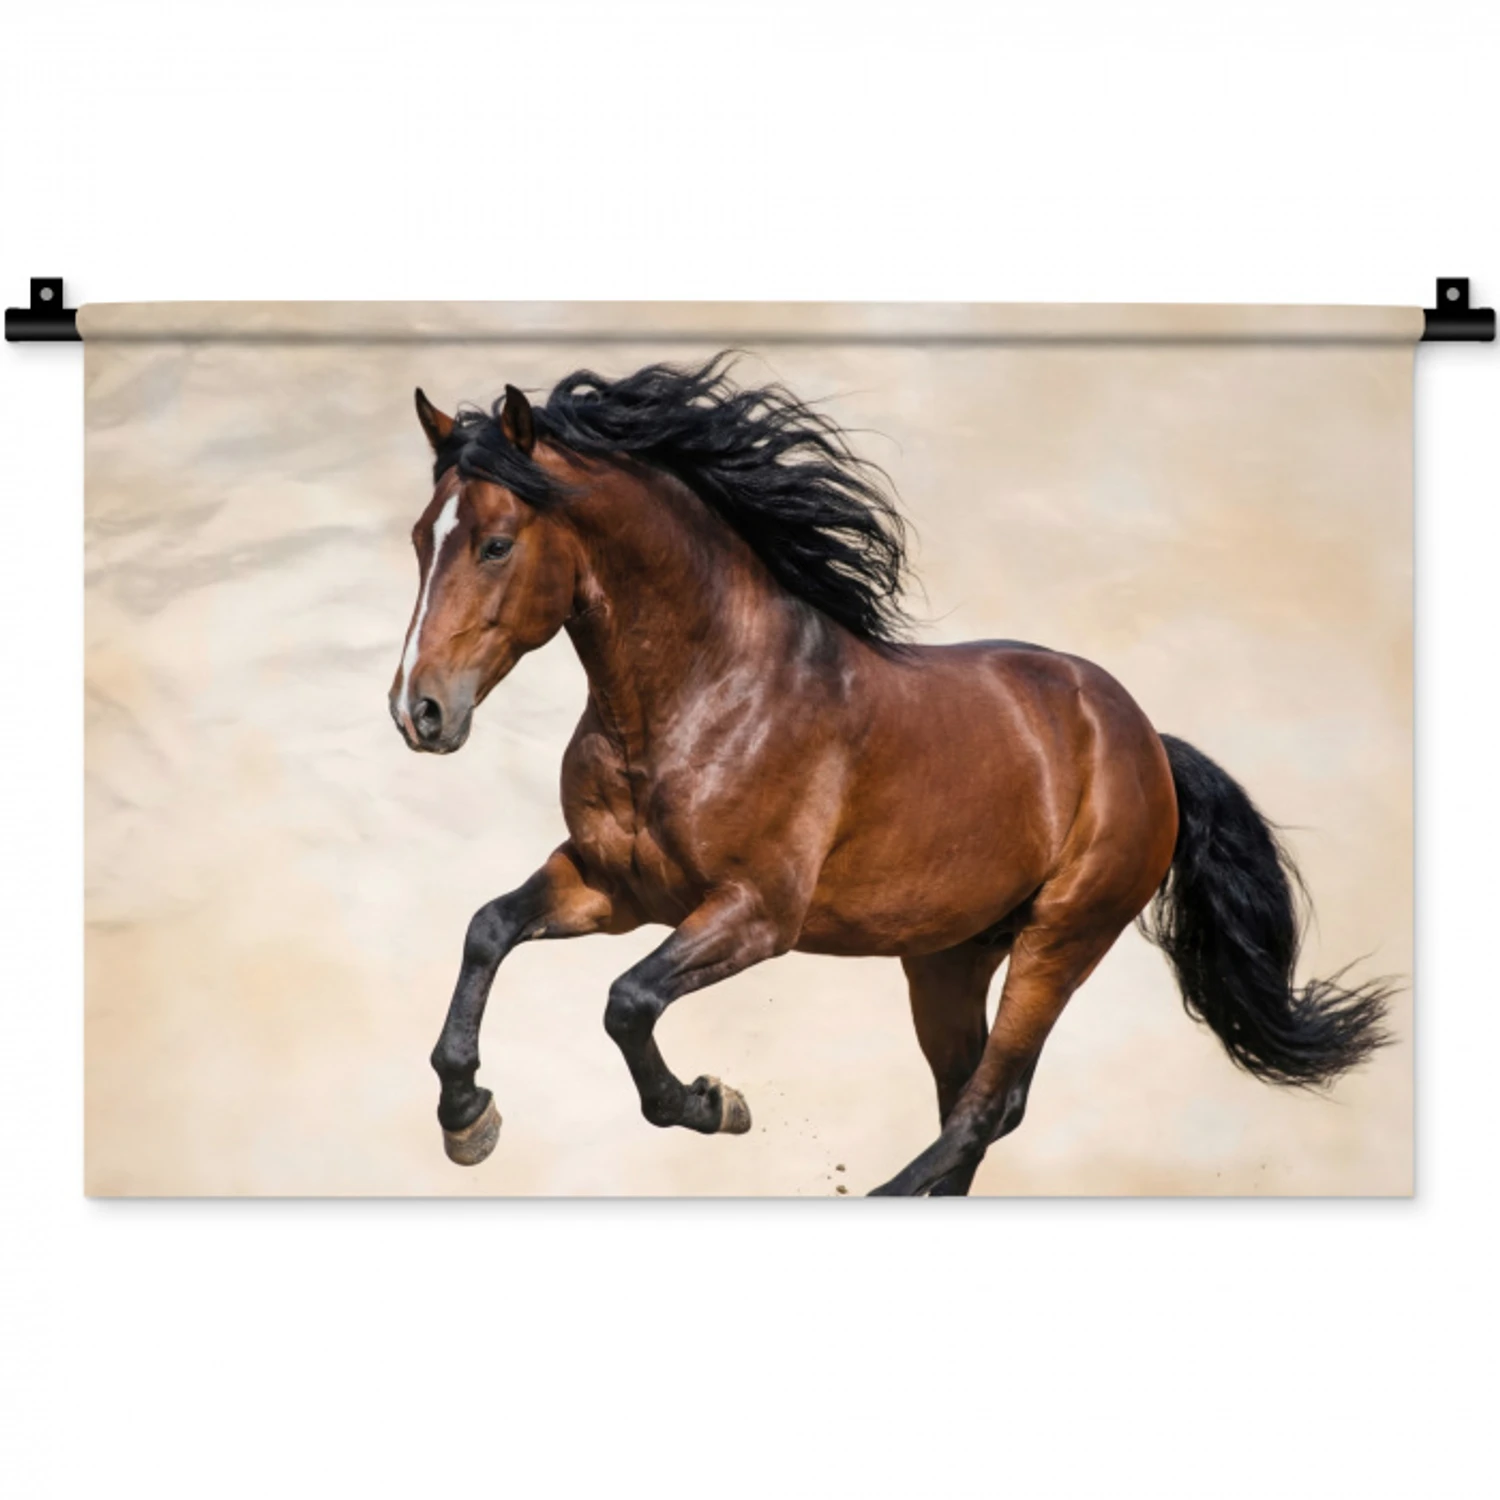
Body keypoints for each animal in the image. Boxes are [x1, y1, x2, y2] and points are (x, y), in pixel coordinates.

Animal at [389, 355, 1392, 1196]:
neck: (701, 696)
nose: (418, 711)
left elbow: (627, 1002)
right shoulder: (614, 886)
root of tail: (1146, 739)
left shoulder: (757, 914)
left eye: (496, 544)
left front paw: (714, 1104)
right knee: (976, 1103)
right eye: (419, 538)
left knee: (985, 1107)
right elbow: (488, 930)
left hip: (1063, 938)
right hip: (948, 956)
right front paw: (467, 1118)